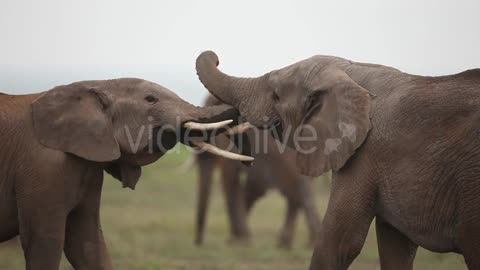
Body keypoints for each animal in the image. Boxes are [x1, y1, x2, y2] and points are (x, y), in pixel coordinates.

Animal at [193, 95, 320, 249]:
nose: (198, 243)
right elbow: (251, 189)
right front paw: (240, 239)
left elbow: (232, 182)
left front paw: (238, 241)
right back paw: (289, 244)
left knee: (297, 189)